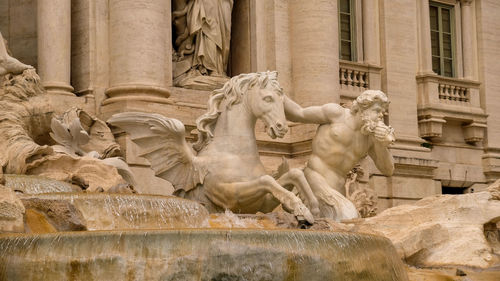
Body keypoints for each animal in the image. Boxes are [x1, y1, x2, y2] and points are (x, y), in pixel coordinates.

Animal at [110, 71, 320, 222]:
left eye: (283, 101)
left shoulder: (263, 204)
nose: (282, 127)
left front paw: (313, 206)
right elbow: (267, 180)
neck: (234, 152)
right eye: (267, 98)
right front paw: (300, 208)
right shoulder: (231, 197)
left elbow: (293, 174)